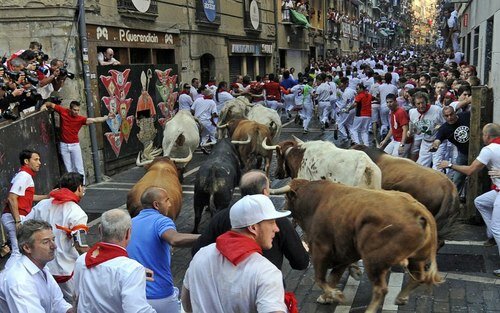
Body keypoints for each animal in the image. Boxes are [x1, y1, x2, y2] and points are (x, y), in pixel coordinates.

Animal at [274, 178, 442, 312]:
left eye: (286, 197)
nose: (282, 207)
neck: (315, 203)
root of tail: (418, 209)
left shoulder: (320, 249)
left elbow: (320, 278)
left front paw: (334, 294)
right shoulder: (343, 253)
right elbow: (334, 276)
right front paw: (327, 296)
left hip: (374, 261)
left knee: (381, 289)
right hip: (416, 258)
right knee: (418, 277)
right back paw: (401, 298)